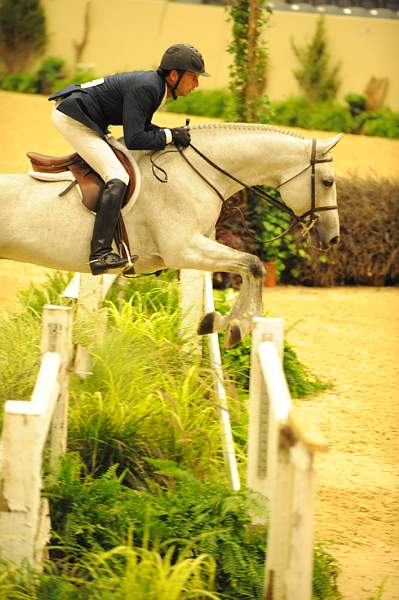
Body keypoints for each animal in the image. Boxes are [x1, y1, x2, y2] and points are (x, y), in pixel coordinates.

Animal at [0, 123, 344, 346]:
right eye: (327, 182)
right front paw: (236, 326)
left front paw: (218, 322)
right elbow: (253, 264)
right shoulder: (185, 250)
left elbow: (247, 268)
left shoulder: (201, 245)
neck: (194, 174)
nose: (333, 239)